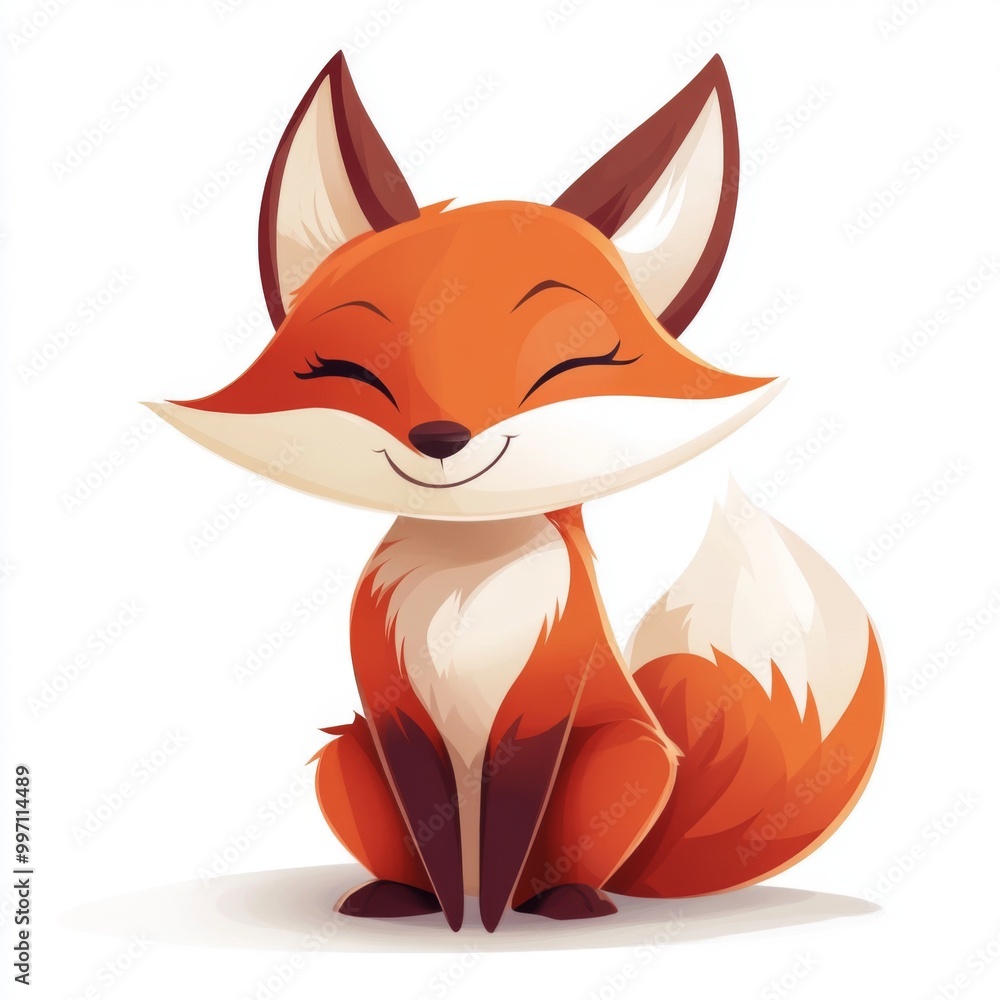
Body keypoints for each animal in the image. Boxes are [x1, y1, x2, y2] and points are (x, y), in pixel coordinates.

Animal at [148, 51, 885, 932]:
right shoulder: (393, 711)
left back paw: (562, 901)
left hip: (626, 754)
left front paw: (490, 929)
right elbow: (430, 819)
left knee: (560, 864)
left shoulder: (544, 702)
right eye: (348, 369)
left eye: (571, 362)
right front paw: (454, 925)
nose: (440, 439)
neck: (466, 589)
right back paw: (402, 898)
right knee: (415, 853)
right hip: (343, 754)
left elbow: (512, 822)